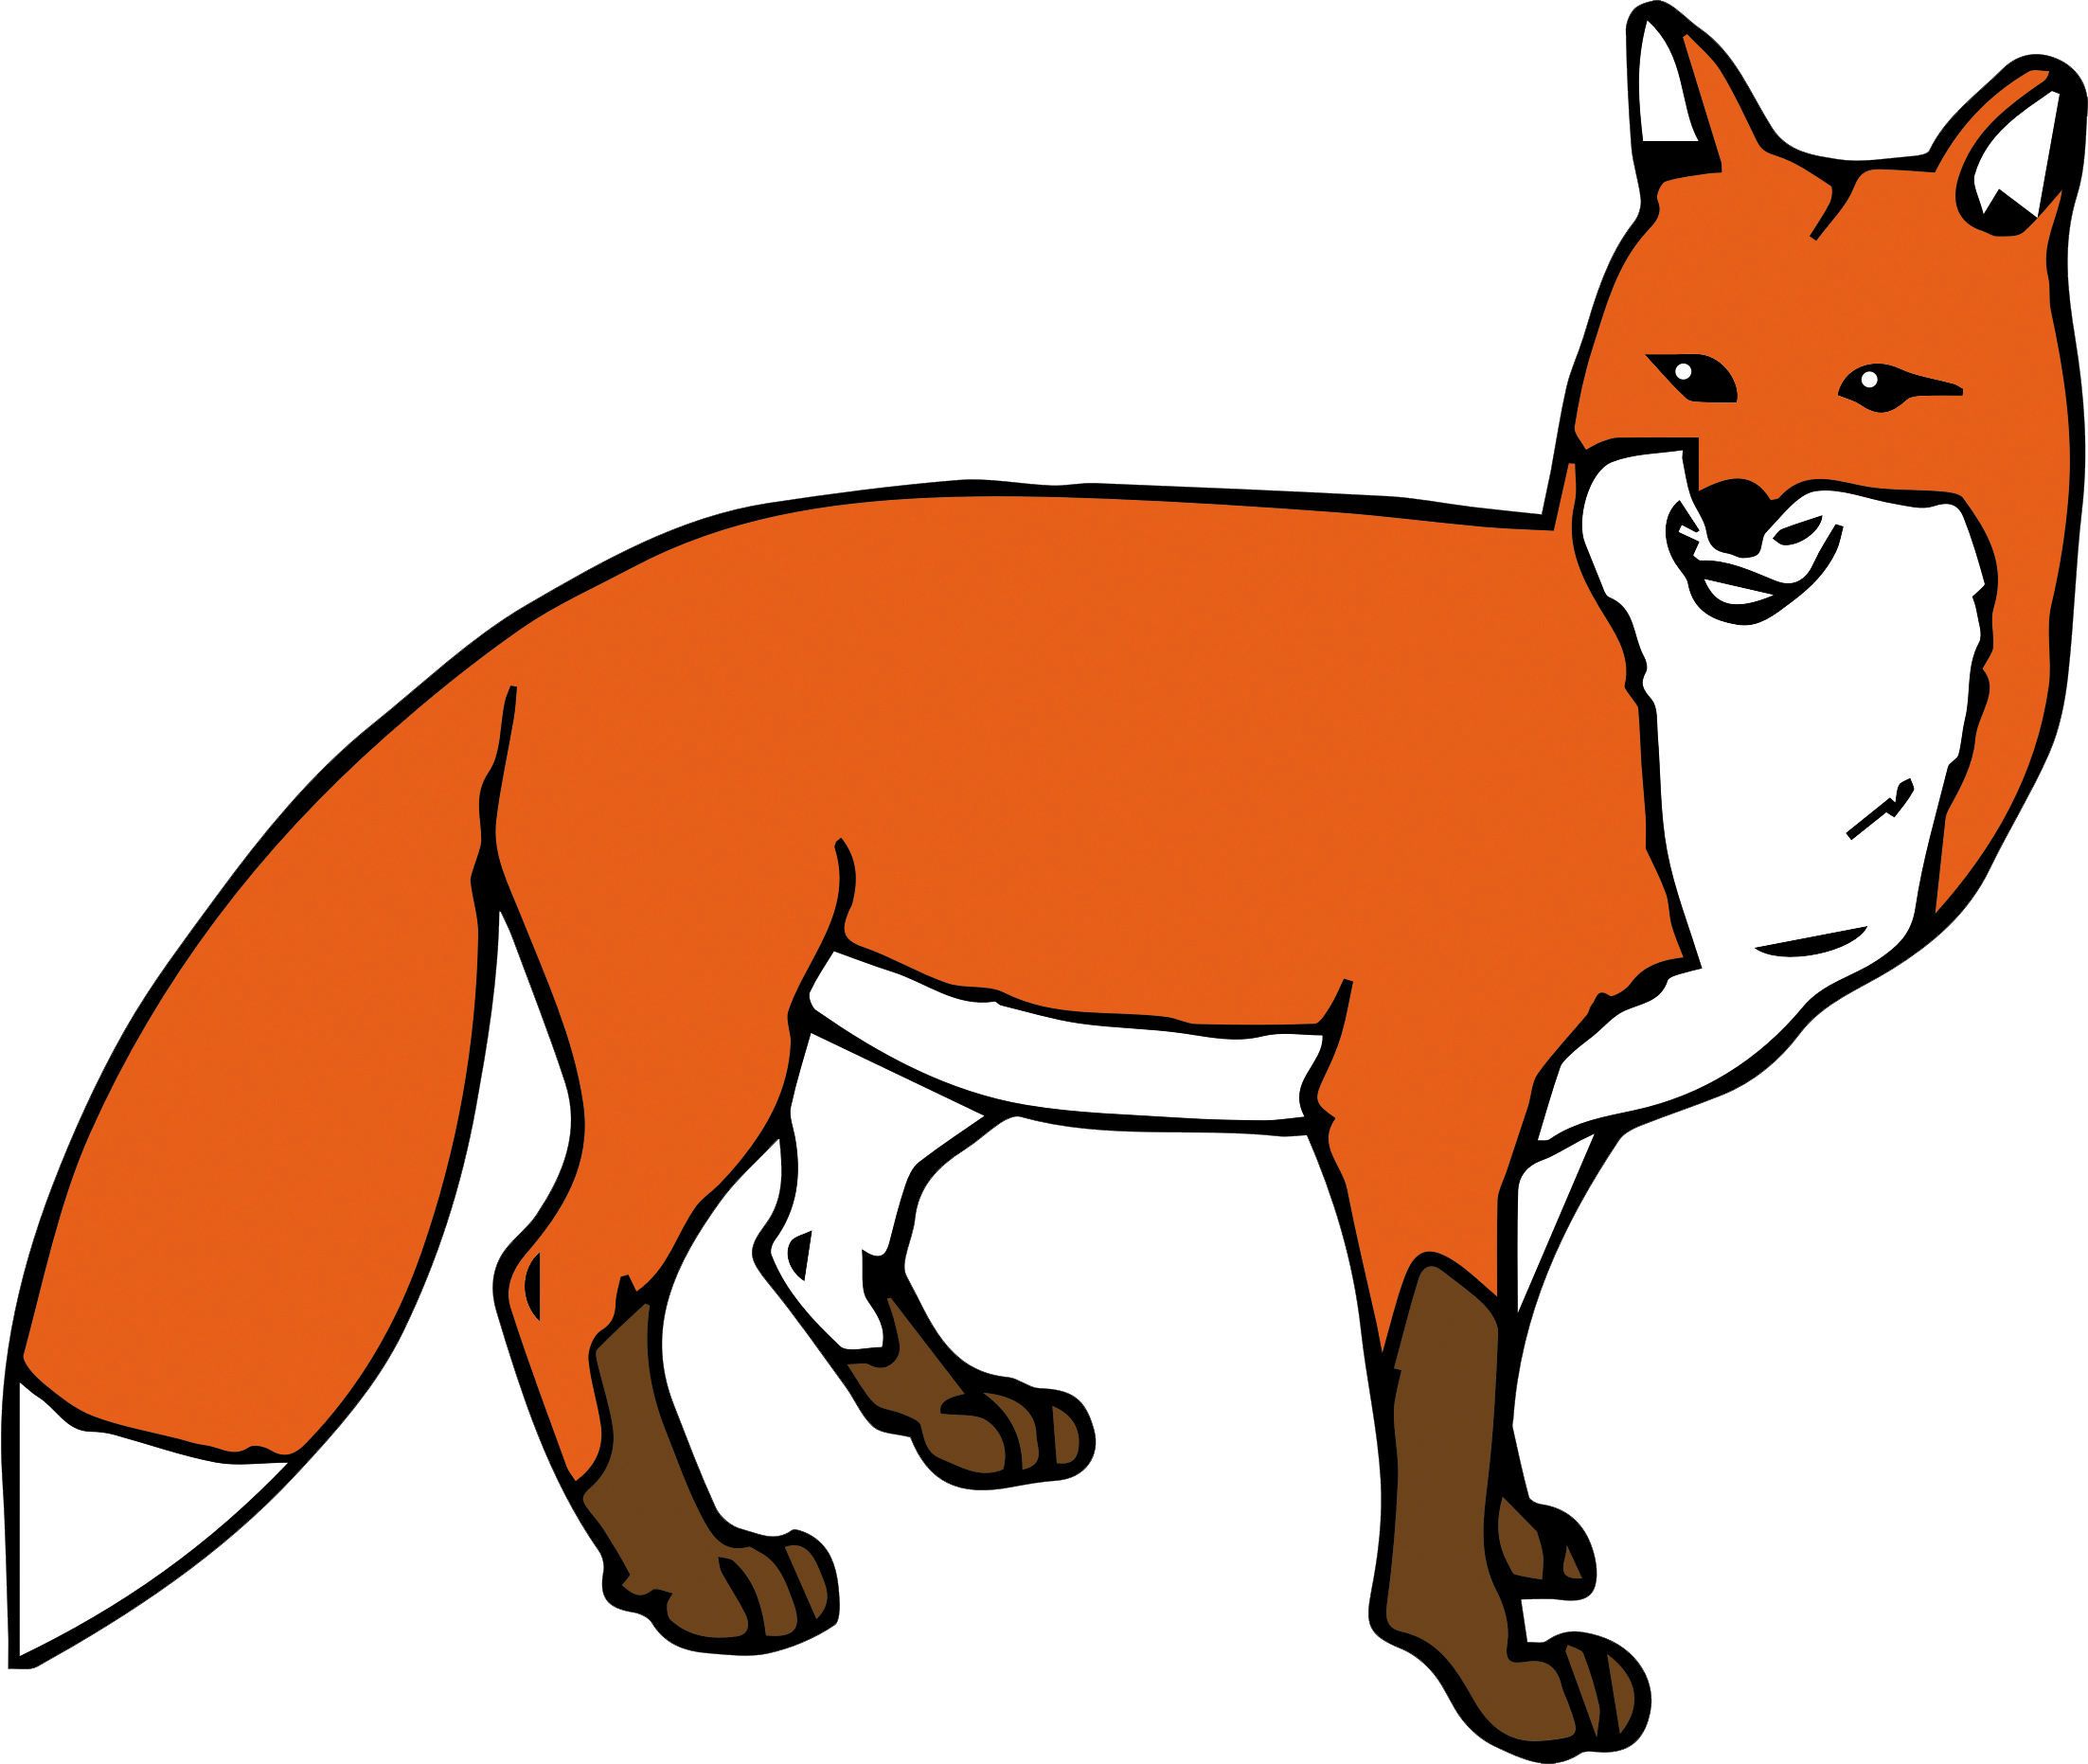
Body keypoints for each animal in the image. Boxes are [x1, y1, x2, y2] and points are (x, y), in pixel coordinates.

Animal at [5, 7, 2081, 1758]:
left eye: (1878, 390)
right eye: (1693, 376)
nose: (1728, 509)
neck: (1711, 746)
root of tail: (558, 610)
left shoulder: (1555, 1131)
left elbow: (1497, 1373)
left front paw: (1515, 1539)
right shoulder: (1415, 1101)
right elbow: (1430, 1389)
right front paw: (1475, 1661)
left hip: (908, 1061)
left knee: (806, 1237)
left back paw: (953, 1417)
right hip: (710, 1053)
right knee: (563, 1275)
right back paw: (696, 1577)